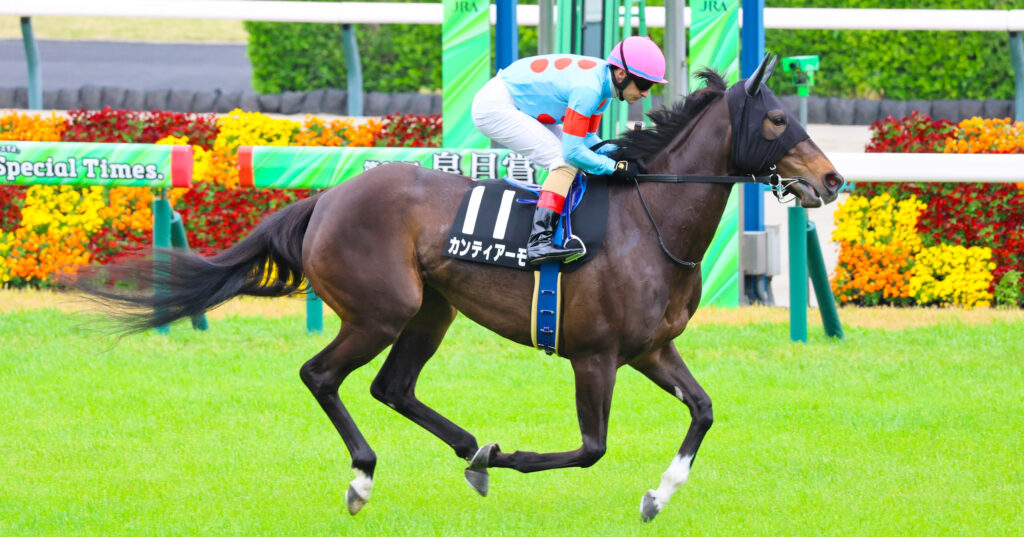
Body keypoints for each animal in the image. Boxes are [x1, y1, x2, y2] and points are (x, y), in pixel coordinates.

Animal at [75, 56, 843, 522]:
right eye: (777, 120)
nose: (834, 179)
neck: (648, 221)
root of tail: (326, 199)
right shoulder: (595, 355)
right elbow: (591, 447)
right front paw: (514, 457)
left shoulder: (650, 349)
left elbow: (704, 410)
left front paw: (659, 494)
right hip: (382, 311)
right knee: (322, 375)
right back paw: (367, 475)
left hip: (431, 310)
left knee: (393, 387)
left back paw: (470, 450)